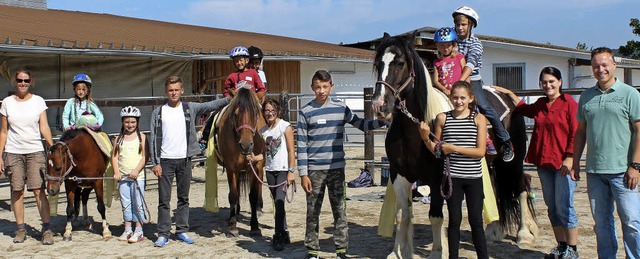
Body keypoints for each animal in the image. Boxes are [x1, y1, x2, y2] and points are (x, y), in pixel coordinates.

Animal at [215, 86, 264, 238]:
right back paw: (236, 212)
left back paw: (259, 208)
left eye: (255, 114)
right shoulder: (231, 168)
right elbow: (233, 195)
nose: (246, 145)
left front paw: (255, 227)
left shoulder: (254, 166)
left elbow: (252, 196)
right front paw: (232, 227)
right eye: (235, 115)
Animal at [372, 32, 536, 259]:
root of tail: (511, 99)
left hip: (514, 161)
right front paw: (398, 253)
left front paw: (437, 252)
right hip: (490, 165)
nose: (379, 106)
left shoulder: (437, 178)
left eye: (400, 63)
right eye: (378, 63)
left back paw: (524, 234)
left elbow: (435, 216)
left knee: (521, 188)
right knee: (495, 191)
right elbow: (401, 216)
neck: (416, 128)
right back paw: (493, 231)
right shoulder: (400, 175)